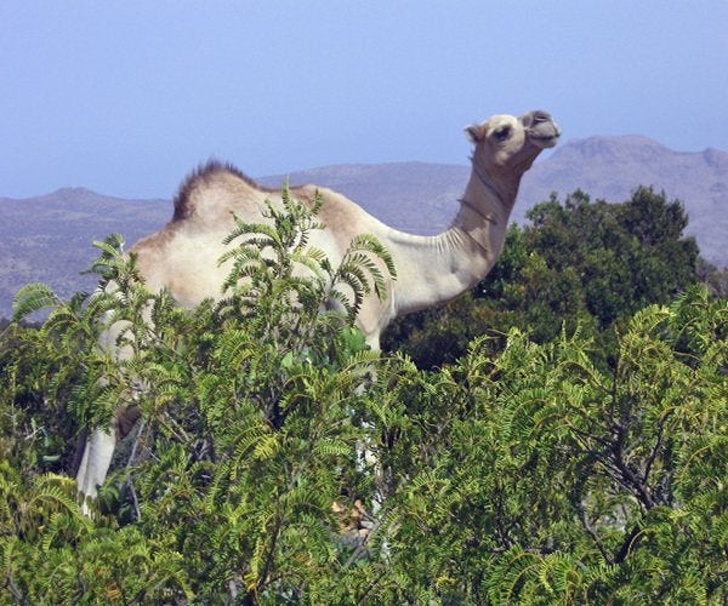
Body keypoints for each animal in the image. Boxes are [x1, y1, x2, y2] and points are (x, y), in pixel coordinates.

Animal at [75, 109, 564, 512]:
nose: (546, 121)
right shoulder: (361, 336)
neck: (401, 263)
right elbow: (367, 448)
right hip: (124, 354)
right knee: (94, 459)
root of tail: (103, 291)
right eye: (502, 130)